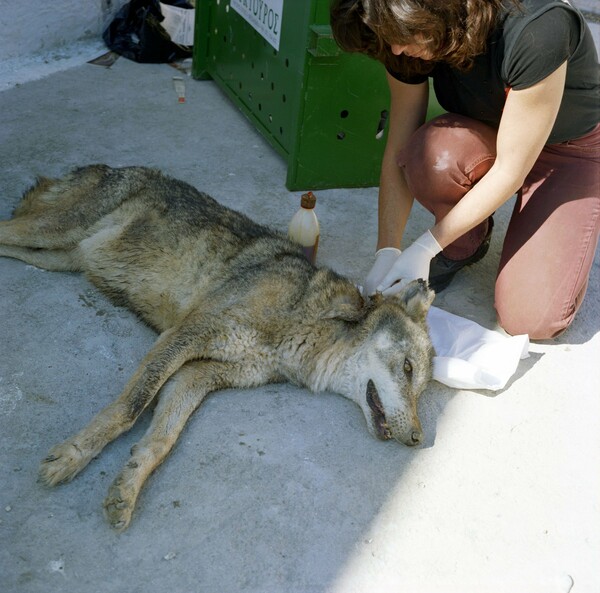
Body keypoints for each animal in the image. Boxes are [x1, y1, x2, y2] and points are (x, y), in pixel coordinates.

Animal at [0, 164, 436, 528]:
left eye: (421, 389)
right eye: (408, 368)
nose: (418, 439)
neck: (311, 325)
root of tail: (105, 166)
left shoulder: (199, 373)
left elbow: (161, 439)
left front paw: (128, 486)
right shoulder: (187, 333)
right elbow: (130, 408)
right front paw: (73, 455)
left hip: (55, 257)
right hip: (50, 233)